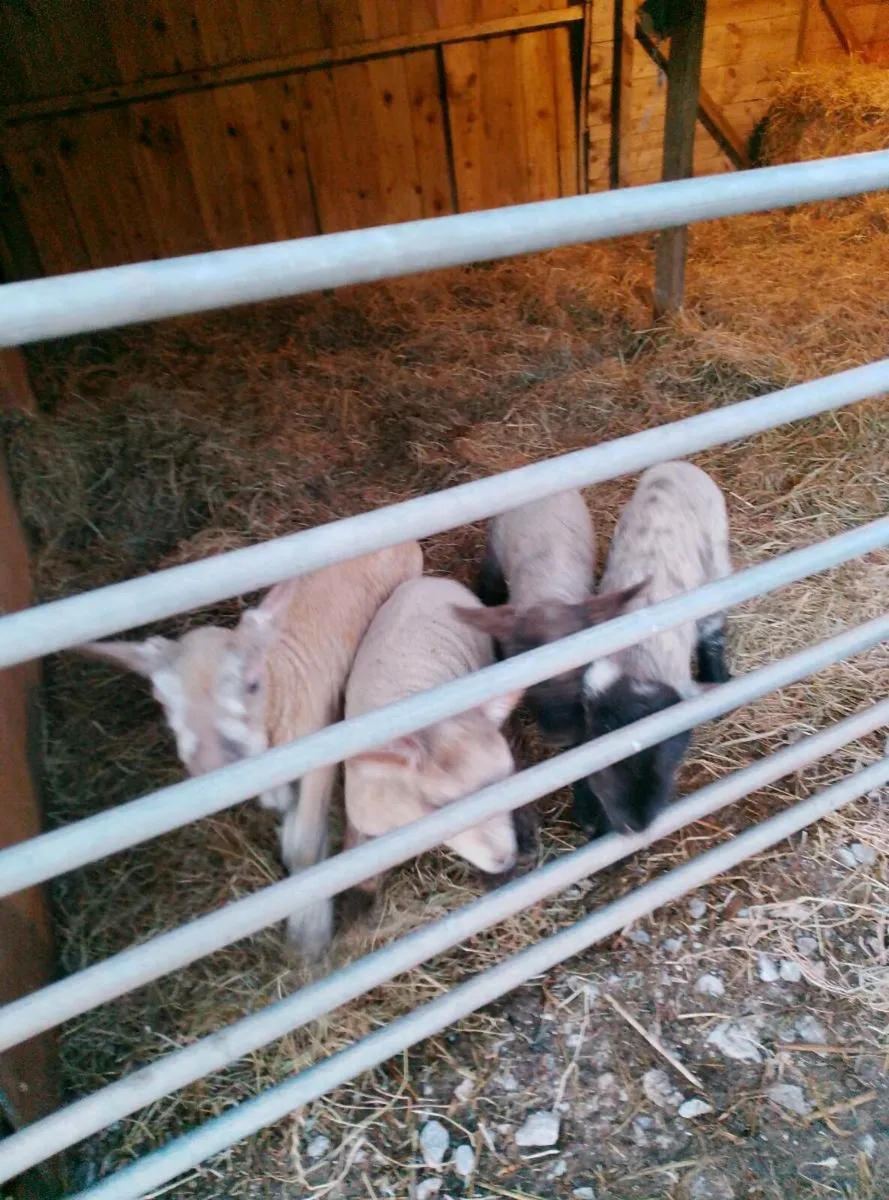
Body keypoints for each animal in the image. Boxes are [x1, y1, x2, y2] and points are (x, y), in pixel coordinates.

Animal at [77, 542, 423, 961]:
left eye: (253, 684)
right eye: (162, 700)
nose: (213, 764)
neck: (281, 685)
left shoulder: (318, 749)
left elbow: (305, 849)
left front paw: (309, 936)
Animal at [573, 460, 732, 837]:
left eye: (670, 759)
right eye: (608, 765)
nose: (636, 825)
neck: (637, 661)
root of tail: (679, 465)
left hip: (716, 561)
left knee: (713, 630)